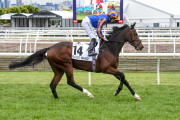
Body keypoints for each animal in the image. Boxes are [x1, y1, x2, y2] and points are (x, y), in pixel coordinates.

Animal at [8, 22, 144, 100]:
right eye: (136, 34)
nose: (141, 46)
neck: (110, 48)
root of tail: (50, 48)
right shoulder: (106, 69)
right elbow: (123, 75)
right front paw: (117, 91)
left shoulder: (113, 69)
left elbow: (124, 79)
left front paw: (136, 95)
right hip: (66, 64)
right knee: (70, 81)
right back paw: (88, 93)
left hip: (58, 69)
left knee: (53, 84)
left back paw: (57, 99)